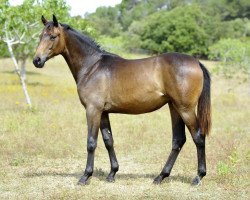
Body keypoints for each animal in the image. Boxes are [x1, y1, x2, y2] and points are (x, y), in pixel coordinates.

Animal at [33, 15, 211, 186]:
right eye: (41, 36)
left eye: (53, 36)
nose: (37, 60)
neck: (92, 66)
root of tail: (196, 62)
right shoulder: (103, 112)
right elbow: (108, 140)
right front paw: (112, 173)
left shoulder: (93, 110)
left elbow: (91, 142)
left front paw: (85, 176)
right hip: (174, 107)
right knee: (178, 140)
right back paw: (161, 177)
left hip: (185, 109)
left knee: (198, 137)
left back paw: (198, 177)